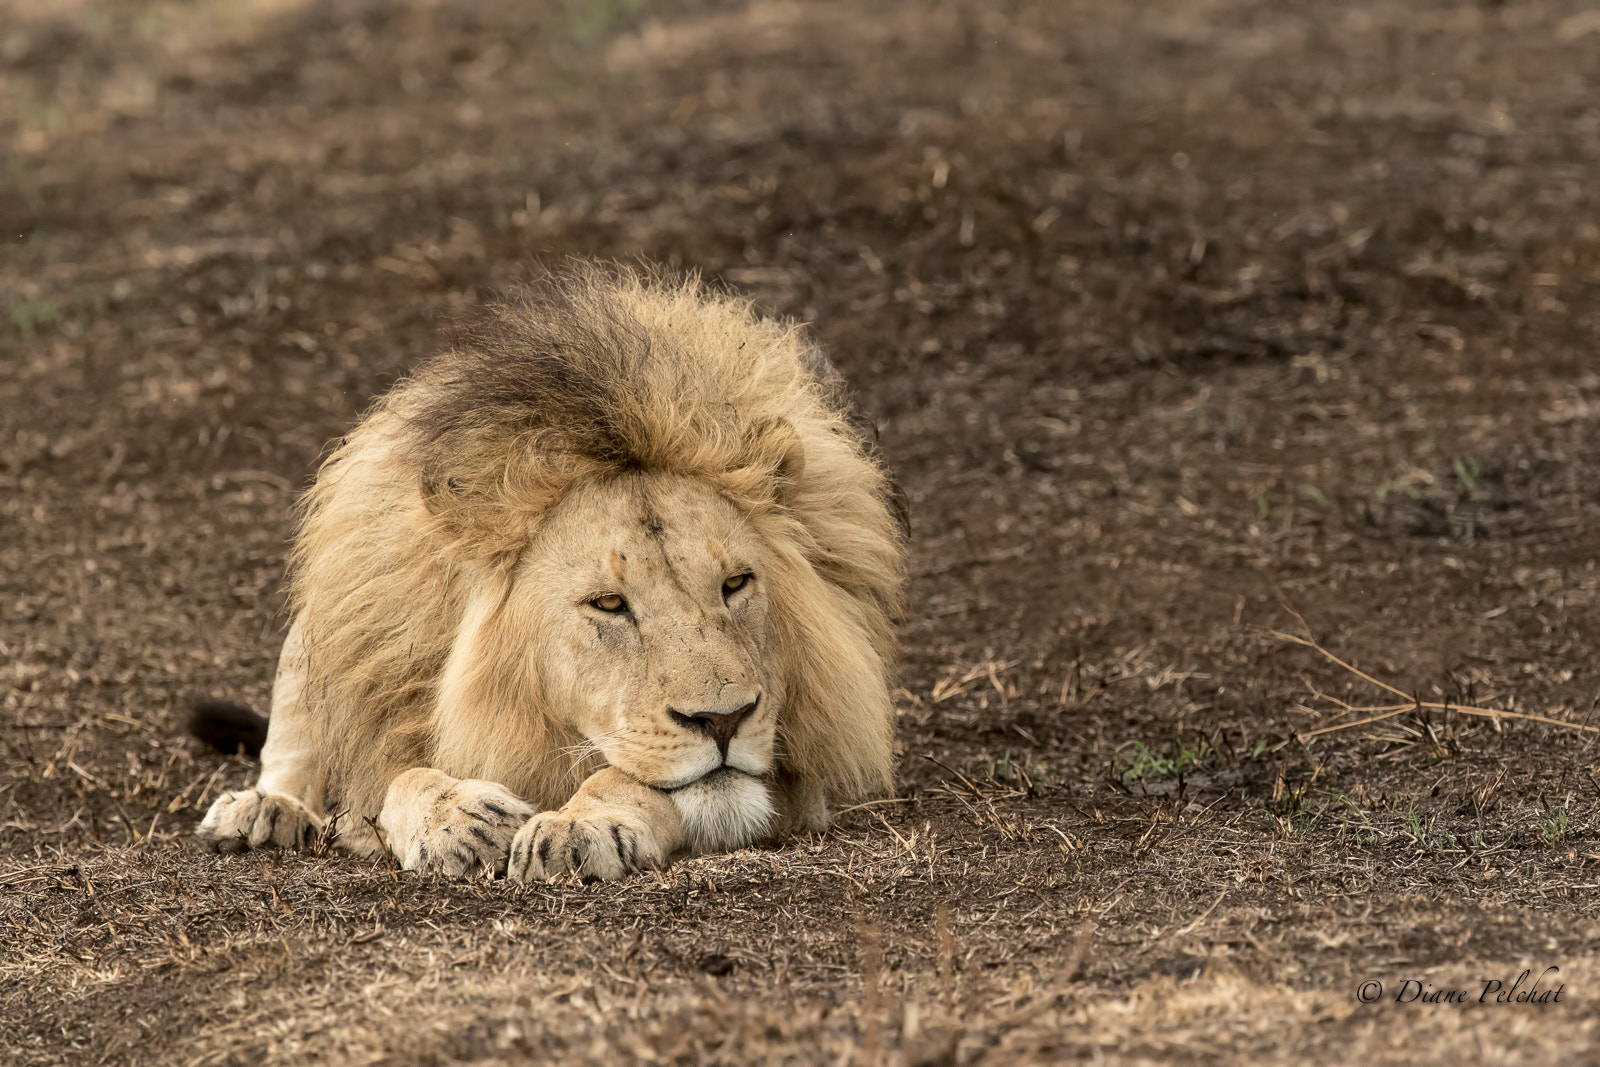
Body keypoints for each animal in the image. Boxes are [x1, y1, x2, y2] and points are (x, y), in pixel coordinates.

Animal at [193, 262, 908, 883]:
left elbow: (631, 779)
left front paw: (579, 825)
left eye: (735, 585)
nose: (725, 721)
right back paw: (264, 811)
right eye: (608, 604)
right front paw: (460, 818)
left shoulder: (796, 776)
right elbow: (393, 781)